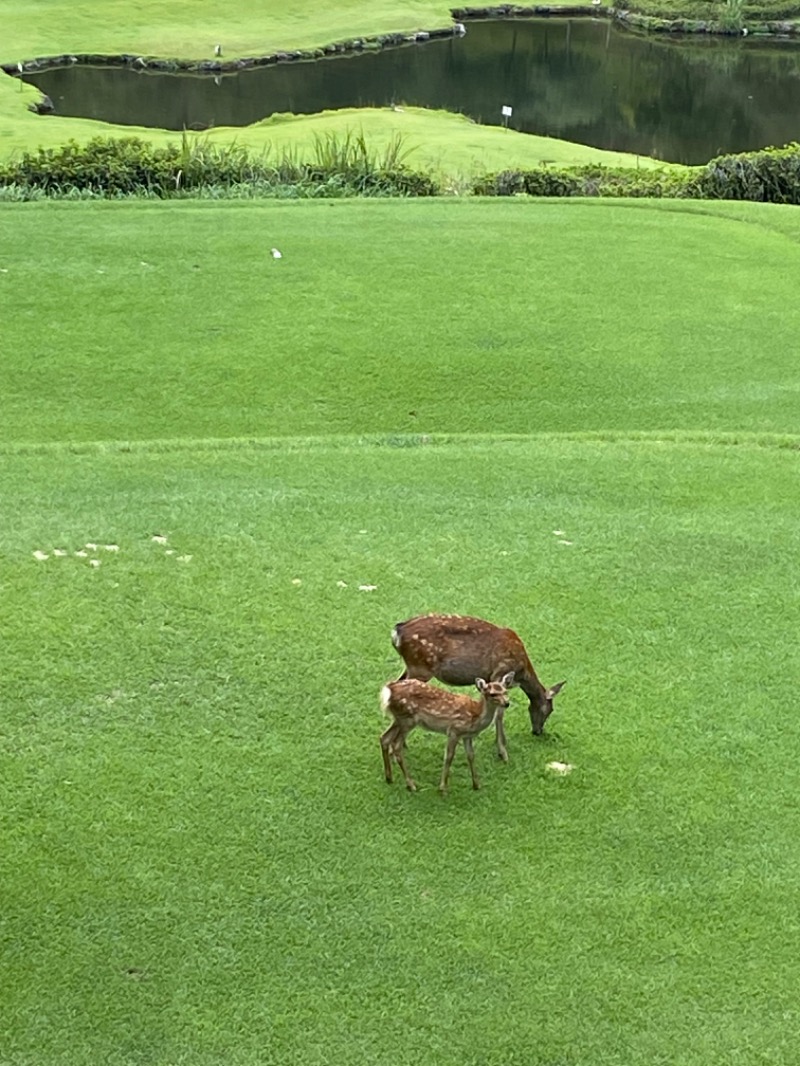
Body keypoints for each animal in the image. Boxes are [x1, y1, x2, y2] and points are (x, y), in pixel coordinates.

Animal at [379, 673, 514, 793]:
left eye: (505, 691)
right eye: (492, 694)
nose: (507, 703)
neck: (475, 716)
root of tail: (388, 691)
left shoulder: (467, 736)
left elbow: (471, 756)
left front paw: (476, 785)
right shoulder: (454, 730)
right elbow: (449, 756)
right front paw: (443, 788)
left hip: (399, 719)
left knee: (384, 738)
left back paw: (389, 778)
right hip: (408, 719)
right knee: (396, 745)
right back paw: (411, 785)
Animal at [392, 609, 567, 758]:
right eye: (549, 710)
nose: (538, 731)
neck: (521, 672)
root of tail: (397, 632)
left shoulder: (490, 679)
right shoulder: (500, 671)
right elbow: (499, 715)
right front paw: (502, 751)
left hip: (412, 666)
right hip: (420, 666)